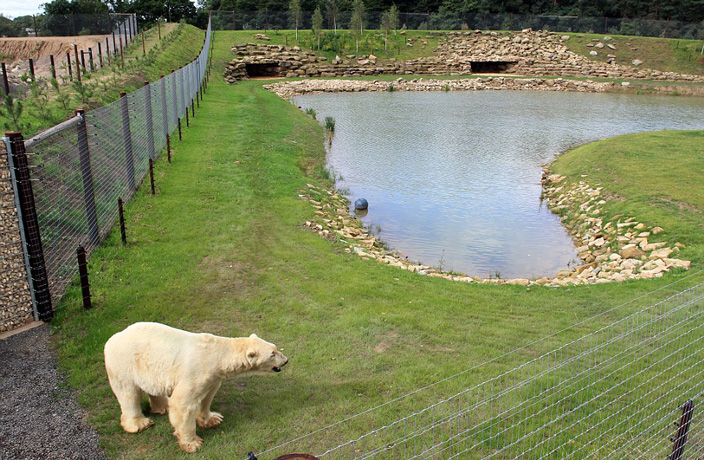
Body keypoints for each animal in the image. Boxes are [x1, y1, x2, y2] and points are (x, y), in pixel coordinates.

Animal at [102, 324, 288, 452]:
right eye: (272, 354)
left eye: (275, 348)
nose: (286, 360)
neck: (217, 353)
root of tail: (112, 338)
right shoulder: (196, 372)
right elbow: (182, 404)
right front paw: (192, 443)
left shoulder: (213, 376)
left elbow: (207, 397)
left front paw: (213, 419)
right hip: (124, 363)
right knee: (128, 393)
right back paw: (139, 423)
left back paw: (162, 406)